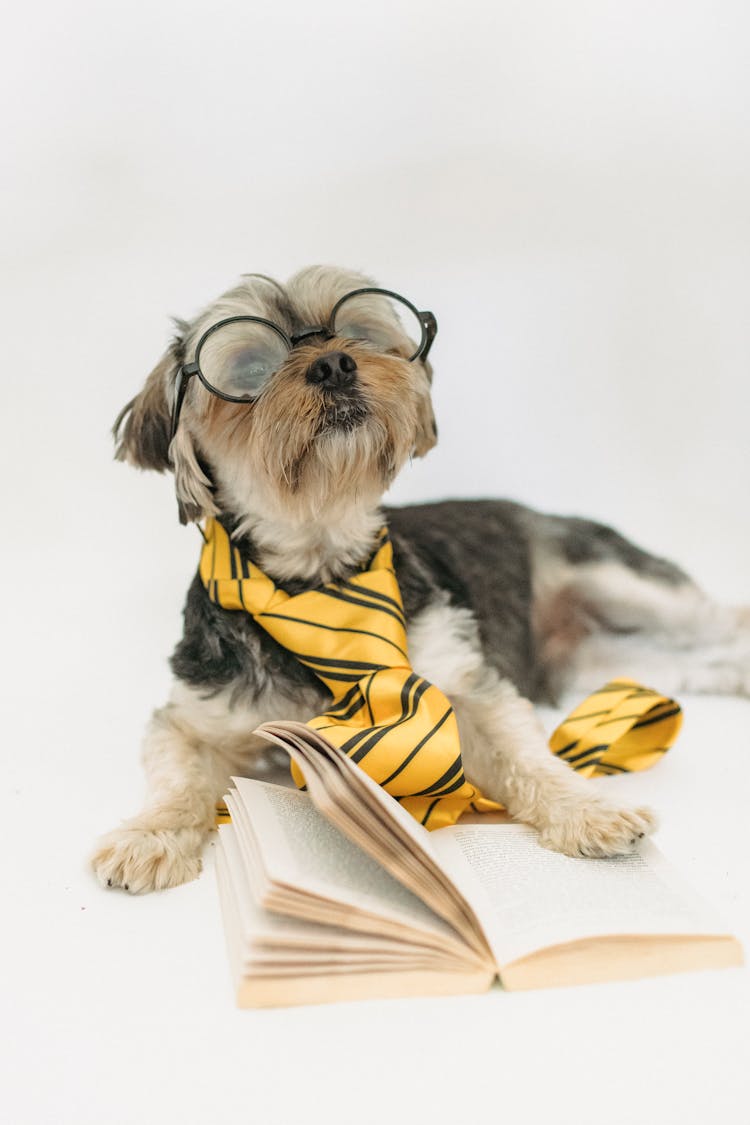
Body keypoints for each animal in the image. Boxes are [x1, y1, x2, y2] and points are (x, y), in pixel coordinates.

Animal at [92, 265, 750, 895]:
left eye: (357, 332)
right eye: (251, 368)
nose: (335, 363)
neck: (322, 576)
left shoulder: (468, 683)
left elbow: (523, 754)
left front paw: (585, 809)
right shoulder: (193, 716)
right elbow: (177, 777)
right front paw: (149, 837)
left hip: (622, 580)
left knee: (719, 618)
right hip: (598, 662)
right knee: (688, 664)